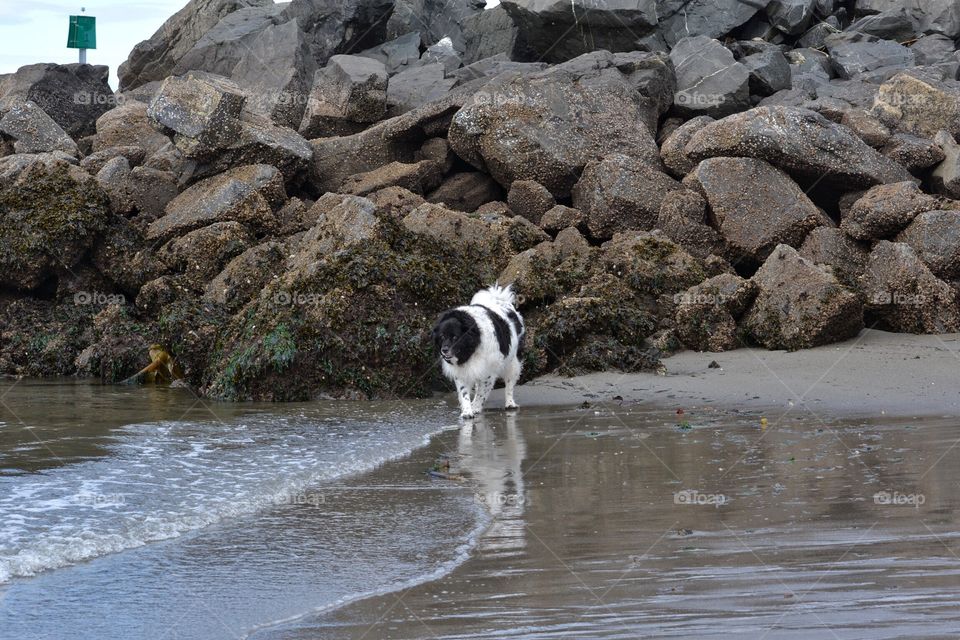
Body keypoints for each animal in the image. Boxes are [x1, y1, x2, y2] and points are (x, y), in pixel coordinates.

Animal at [434, 284, 524, 420]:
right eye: (442, 337)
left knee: (509, 384)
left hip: (512, 363)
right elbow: (464, 392)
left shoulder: (488, 372)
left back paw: (510, 403)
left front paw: (476, 408)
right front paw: (467, 410)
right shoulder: (463, 371)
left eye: (455, 337)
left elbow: (482, 393)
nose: (444, 350)